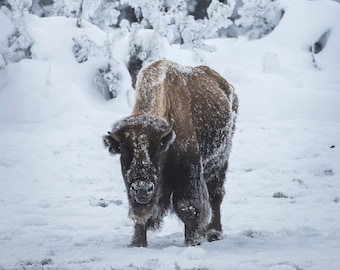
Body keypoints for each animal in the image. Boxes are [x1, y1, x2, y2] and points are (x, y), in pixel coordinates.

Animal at [102, 59, 238, 247]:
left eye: (157, 148)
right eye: (123, 149)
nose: (142, 189)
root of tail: (226, 86)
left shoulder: (188, 173)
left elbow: (188, 207)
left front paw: (192, 242)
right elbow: (140, 214)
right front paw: (137, 243)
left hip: (220, 160)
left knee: (215, 195)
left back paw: (213, 233)